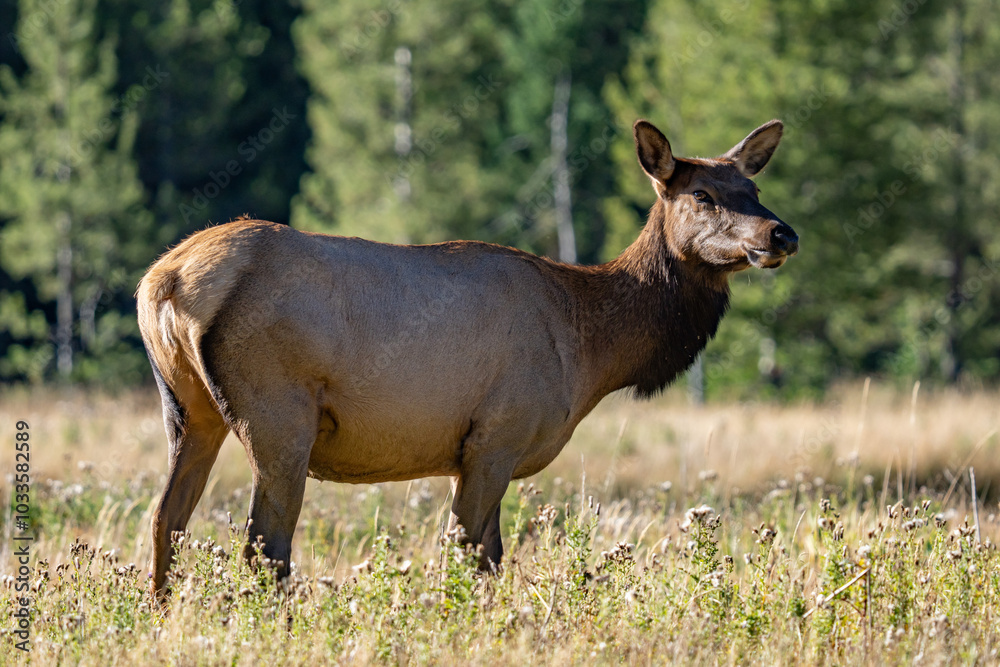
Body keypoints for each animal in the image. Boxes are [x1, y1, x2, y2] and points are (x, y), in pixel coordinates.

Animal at [137, 118, 797, 598]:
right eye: (702, 194)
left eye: (755, 190)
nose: (782, 234)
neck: (590, 348)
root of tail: (163, 281)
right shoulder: (497, 434)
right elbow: (470, 556)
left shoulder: (479, 449)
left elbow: (491, 557)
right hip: (278, 414)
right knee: (263, 546)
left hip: (189, 412)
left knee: (166, 518)